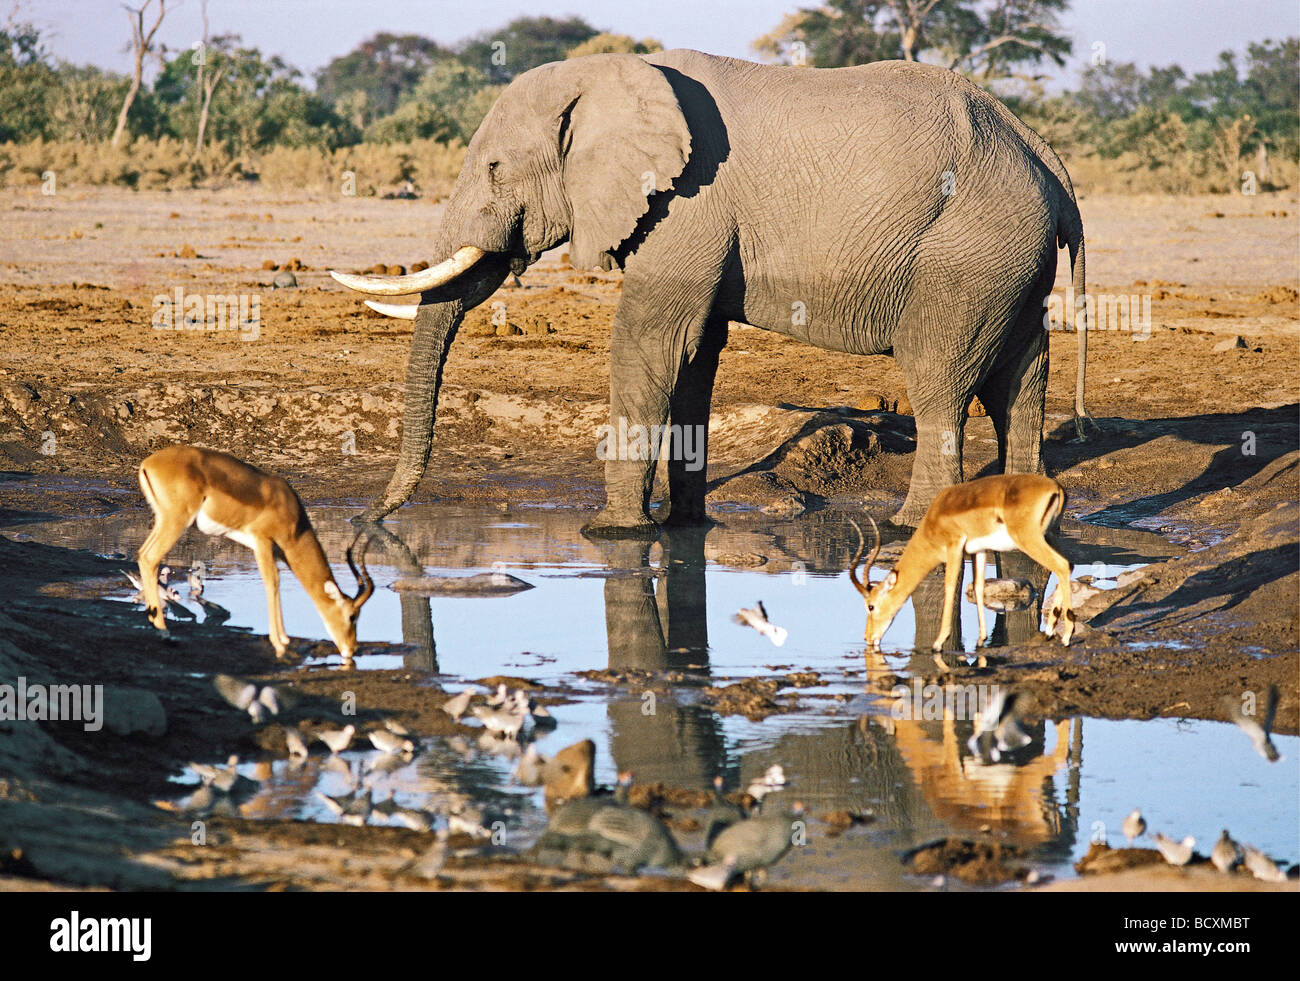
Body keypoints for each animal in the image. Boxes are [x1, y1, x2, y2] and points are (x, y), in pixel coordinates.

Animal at [332, 50, 1086, 532]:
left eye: (494, 168)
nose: (369, 521)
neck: (606, 71)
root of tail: (1044, 154)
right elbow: (695, 354)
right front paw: (683, 524)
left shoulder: (687, 204)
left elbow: (649, 342)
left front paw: (612, 532)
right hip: (1010, 259)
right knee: (1019, 384)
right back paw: (1025, 515)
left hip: (967, 251)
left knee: (938, 383)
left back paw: (909, 524)